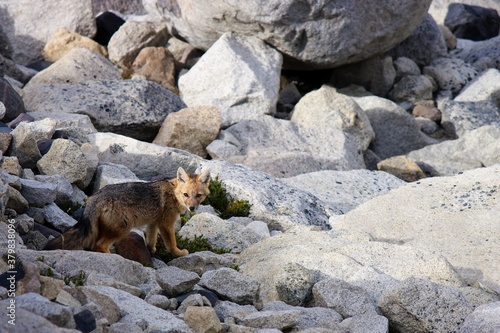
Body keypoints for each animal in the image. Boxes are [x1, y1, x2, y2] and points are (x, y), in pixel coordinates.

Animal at [42, 166, 211, 256]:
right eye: (186, 195)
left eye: (198, 196)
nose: (192, 208)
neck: (173, 192)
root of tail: (95, 197)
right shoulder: (166, 224)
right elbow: (171, 244)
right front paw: (178, 253)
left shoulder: (153, 223)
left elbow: (151, 240)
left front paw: (151, 250)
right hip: (124, 229)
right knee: (99, 245)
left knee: (94, 245)